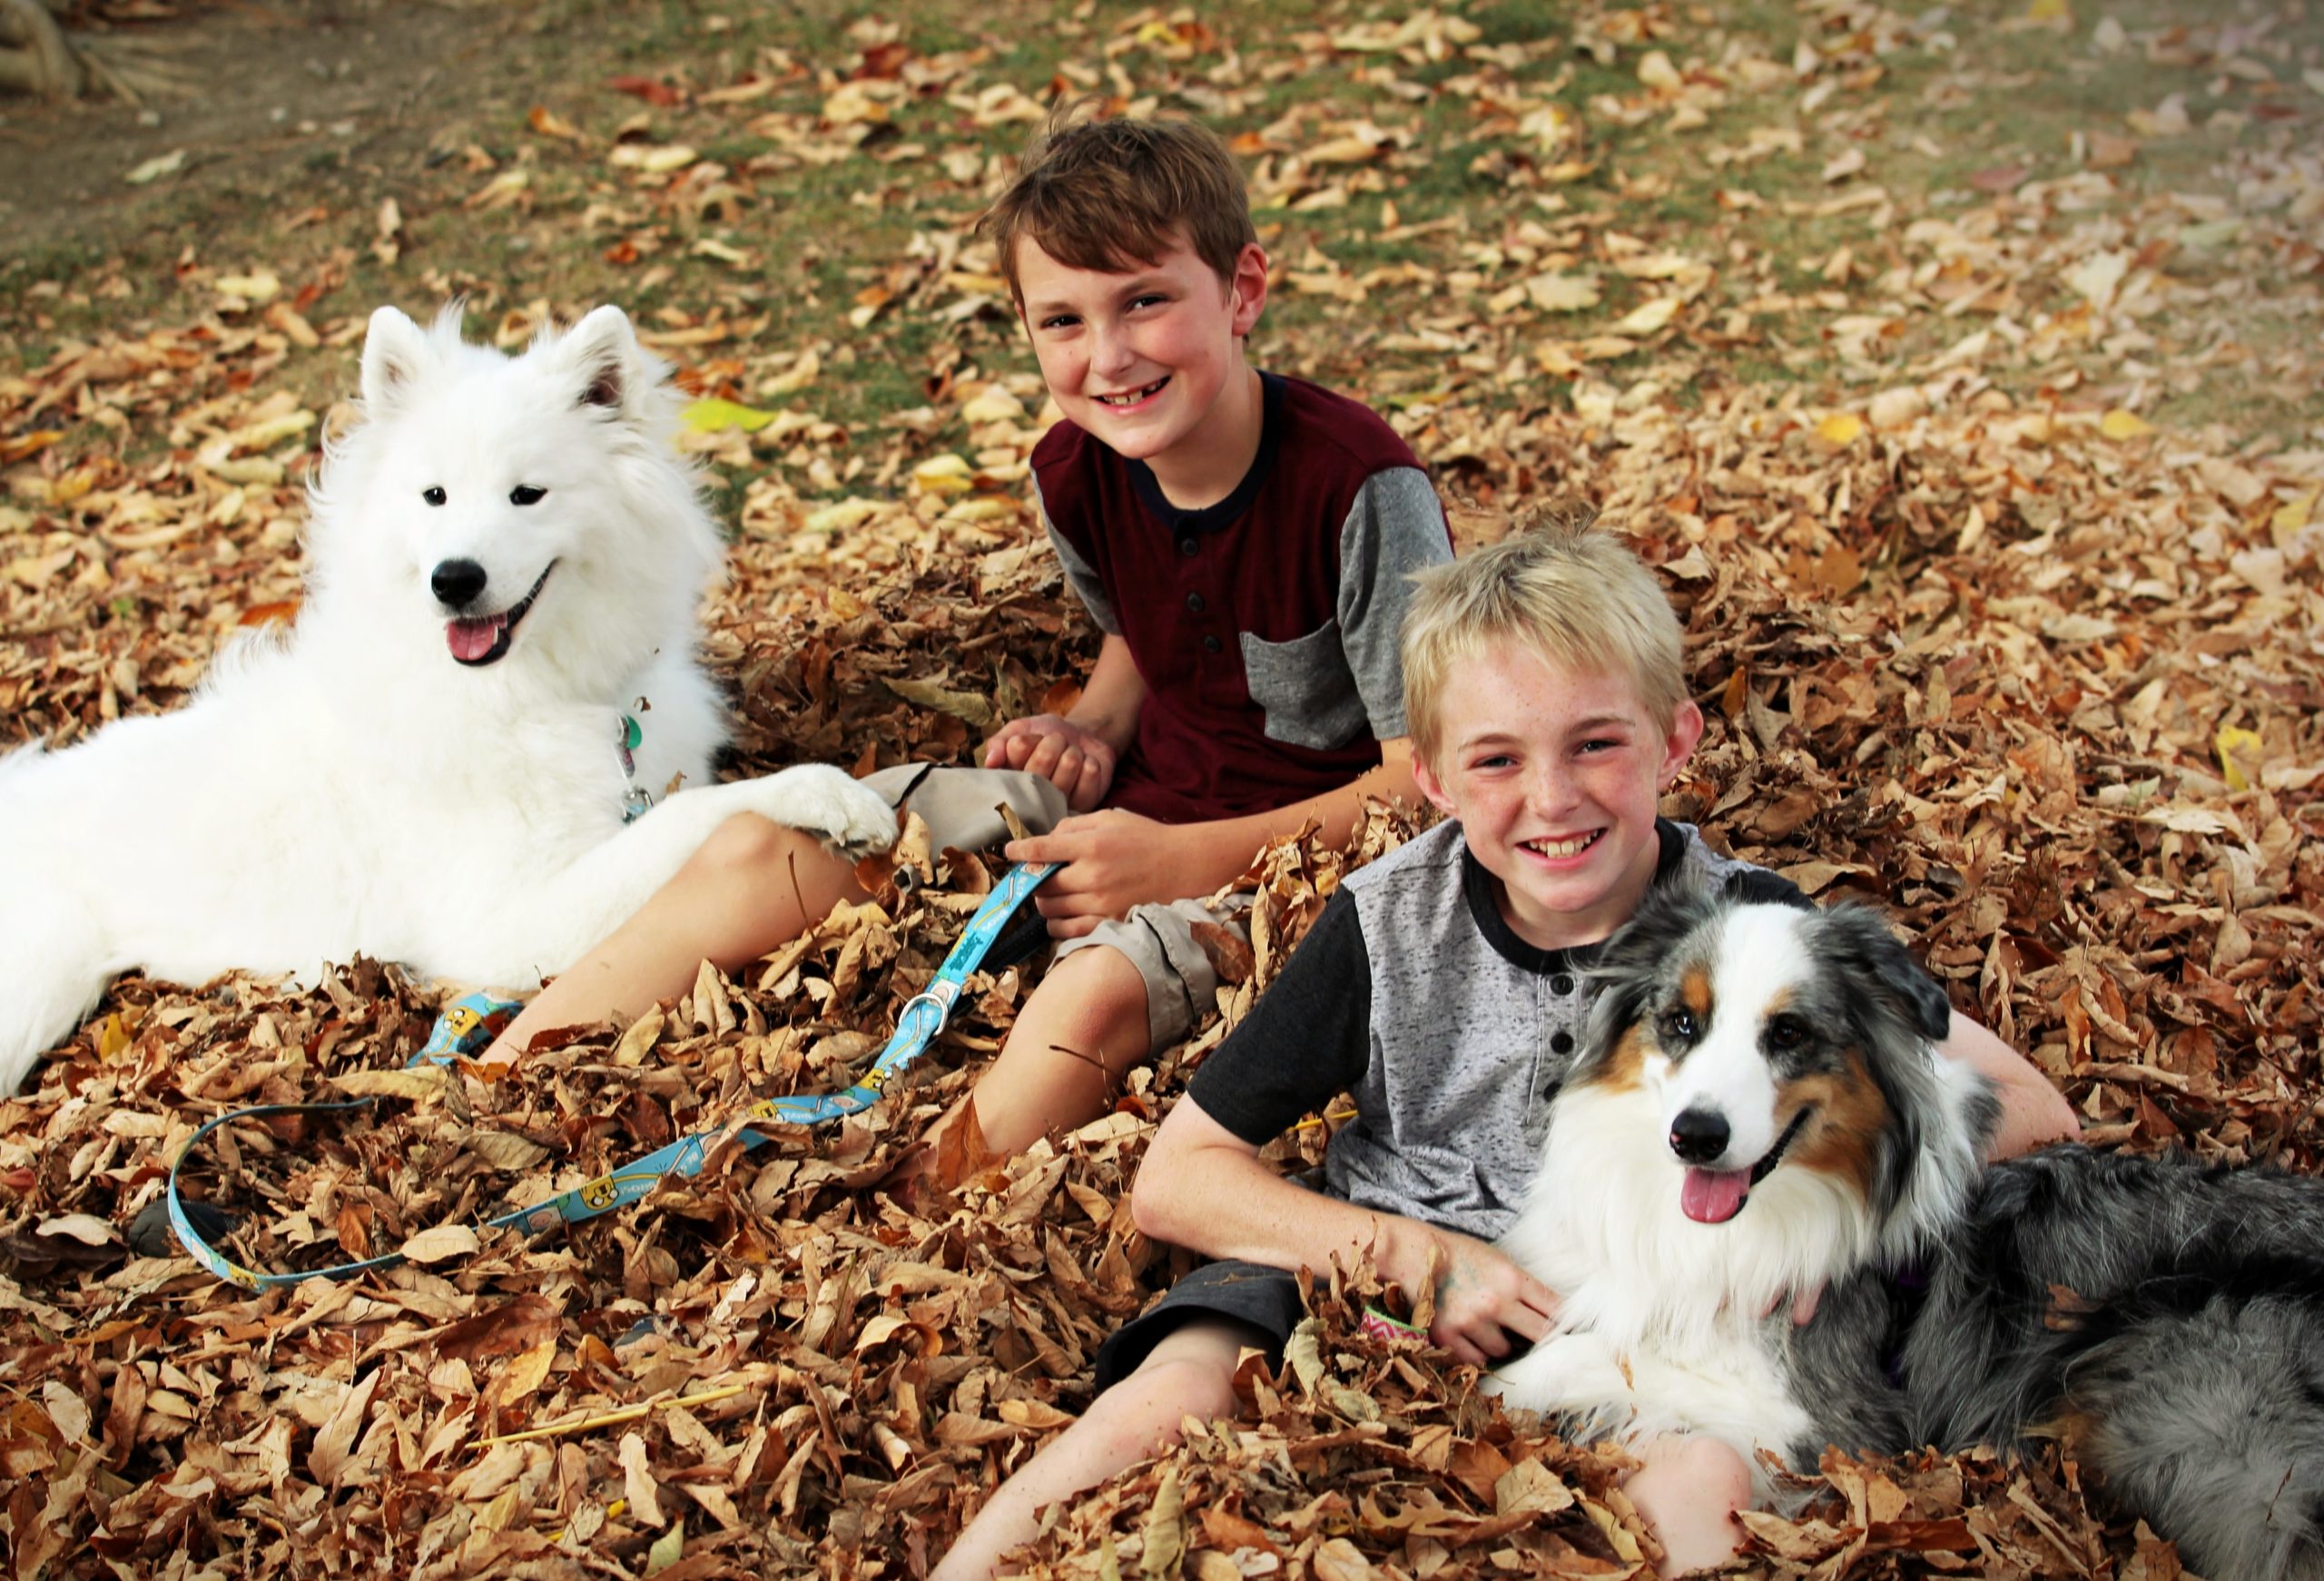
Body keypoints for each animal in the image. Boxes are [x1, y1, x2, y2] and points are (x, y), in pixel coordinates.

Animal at [0, 302, 897, 1093]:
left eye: (526, 494)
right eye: (432, 496)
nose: (453, 580)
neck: (533, 695)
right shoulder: (511, 919)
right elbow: (697, 816)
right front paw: (828, 795)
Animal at [1487, 883, 2324, 1571]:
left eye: (1788, 1034)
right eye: (1681, 1023)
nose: (1694, 1136)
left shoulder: (1823, 1414)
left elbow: (1591, 1355)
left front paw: (1501, 1388)